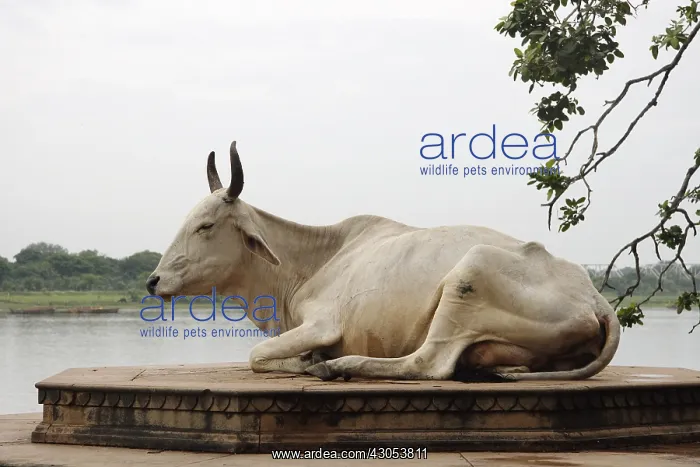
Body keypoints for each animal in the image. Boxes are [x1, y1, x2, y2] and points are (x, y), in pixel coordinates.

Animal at [147, 139, 621, 382]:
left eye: (206, 226)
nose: (153, 281)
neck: (307, 264)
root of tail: (596, 299)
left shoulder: (323, 324)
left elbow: (257, 354)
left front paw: (309, 361)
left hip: (471, 273)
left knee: (428, 364)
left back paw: (338, 366)